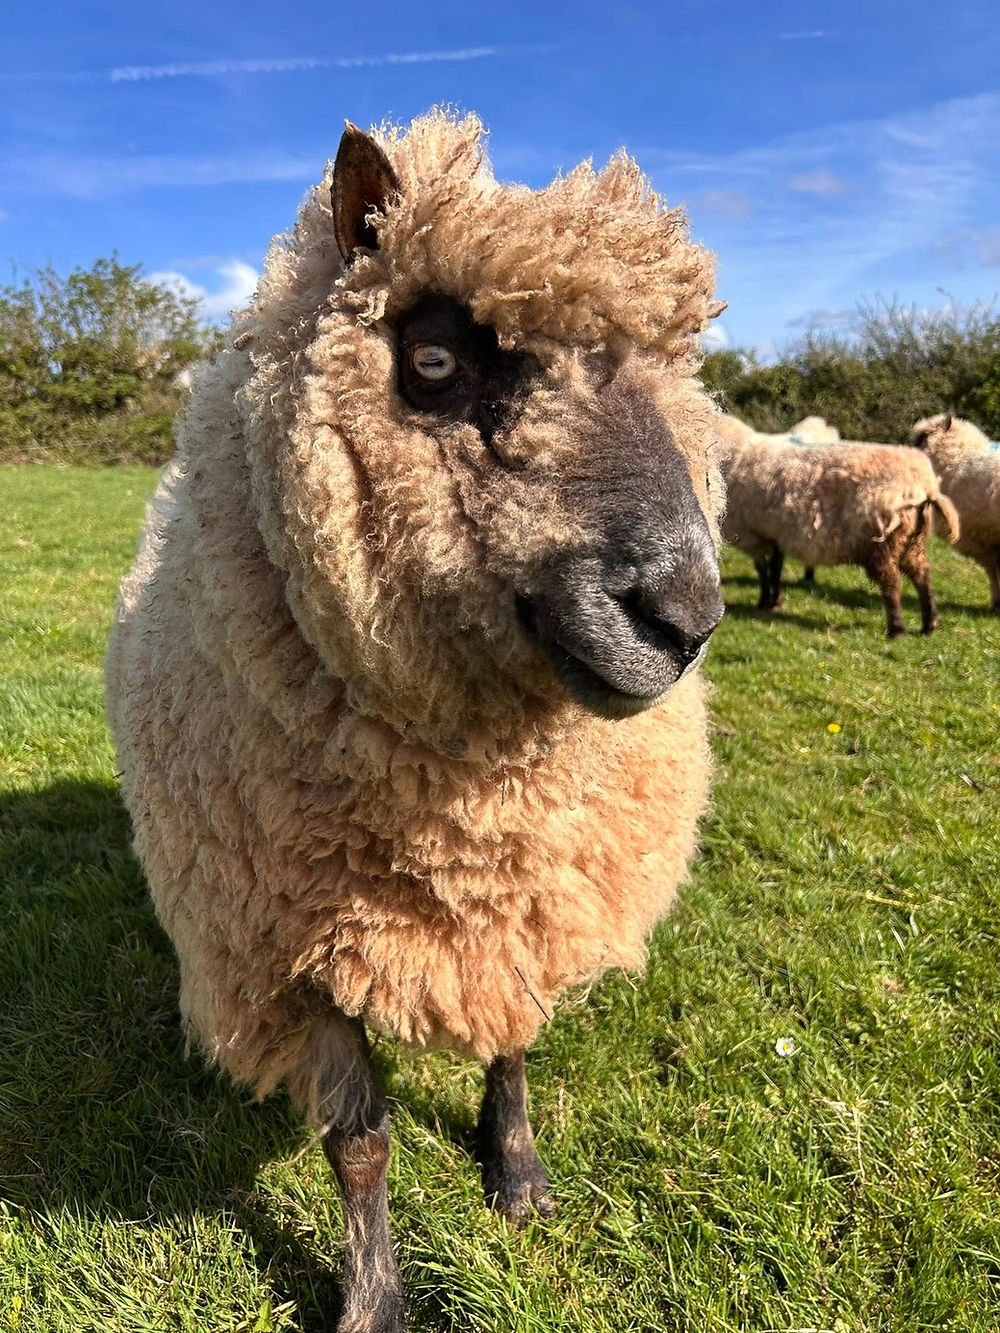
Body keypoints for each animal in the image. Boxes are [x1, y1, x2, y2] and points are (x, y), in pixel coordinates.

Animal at [106, 111, 726, 1333]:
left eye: (669, 373)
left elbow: (513, 1041)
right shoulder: (294, 941)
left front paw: (519, 1175)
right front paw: (372, 1299)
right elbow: (358, 1141)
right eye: (435, 362)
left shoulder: (528, 900)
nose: (684, 617)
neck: (459, 821)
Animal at [718, 433, 960, 635]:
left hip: (880, 542)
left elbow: (763, 570)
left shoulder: (753, 535)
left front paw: (764, 601)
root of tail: (924, 487)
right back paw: (930, 624)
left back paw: (897, 629)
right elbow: (775, 568)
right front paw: (774, 601)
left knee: (891, 582)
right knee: (922, 576)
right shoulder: (775, 534)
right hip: (913, 539)